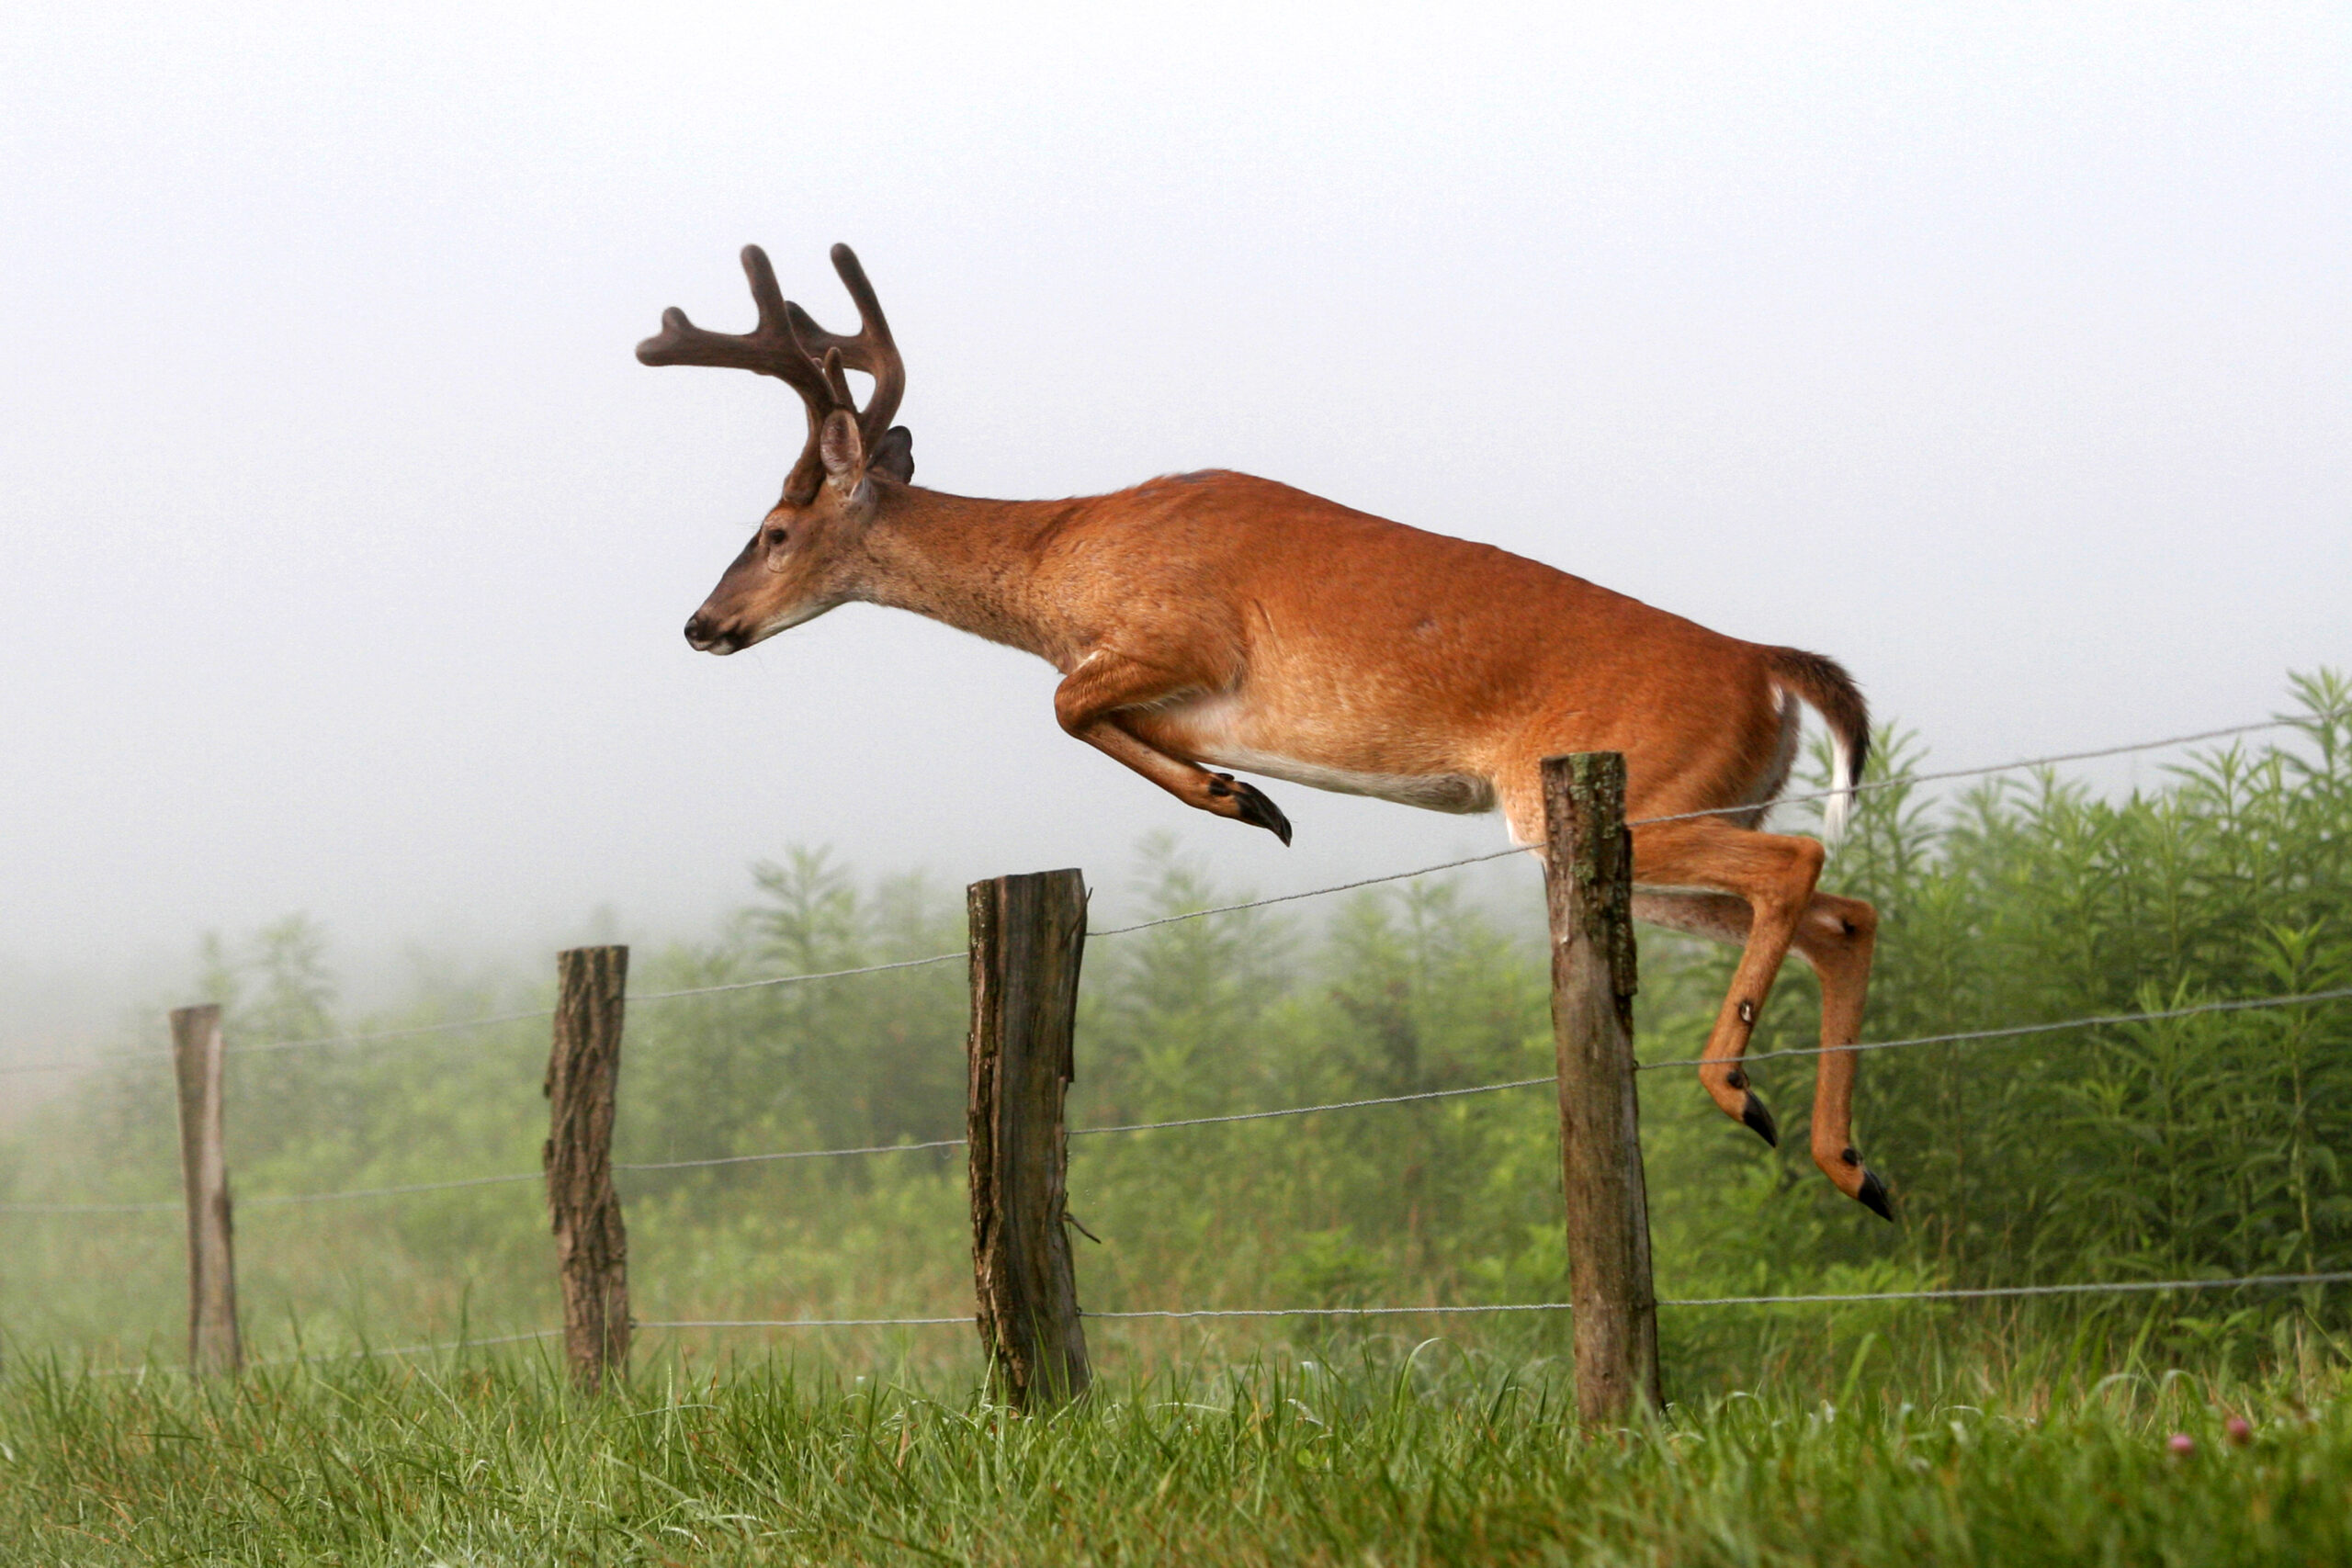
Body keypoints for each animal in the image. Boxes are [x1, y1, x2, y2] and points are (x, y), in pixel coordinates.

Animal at [641, 244, 1891, 1218]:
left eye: (774, 529)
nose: (701, 625)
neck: (1059, 569)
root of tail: (1767, 668)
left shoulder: (1179, 635)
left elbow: (1062, 705)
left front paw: (1244, 800)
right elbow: (1092, 714)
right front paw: (1250, 797)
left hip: (1627, 796)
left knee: (1802, 863)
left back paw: (1741, 1092)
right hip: (1656, 827)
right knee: (1844, 912)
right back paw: (1853, 1165)